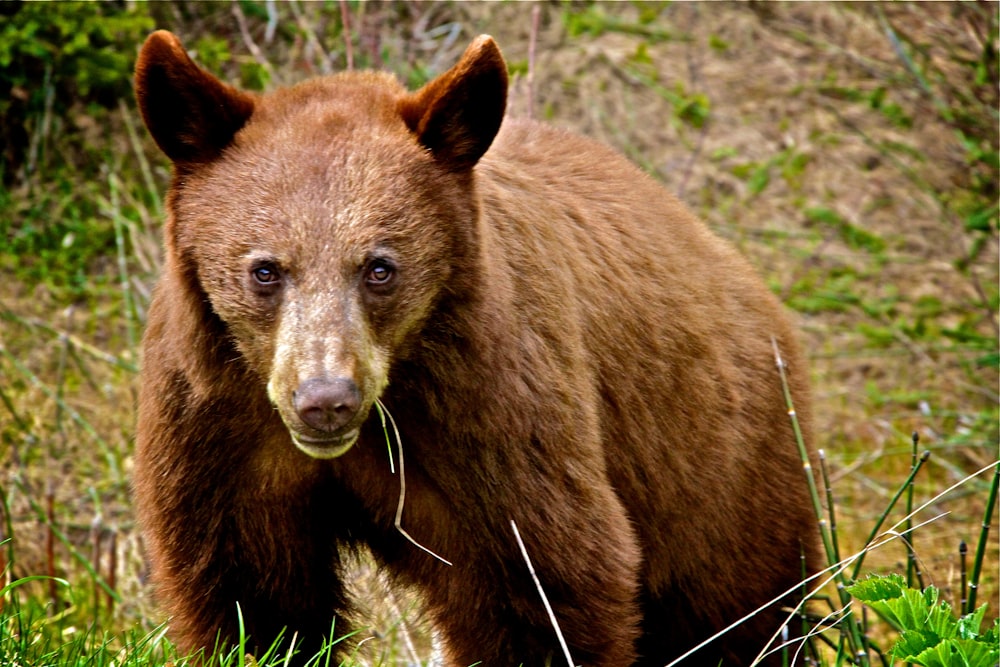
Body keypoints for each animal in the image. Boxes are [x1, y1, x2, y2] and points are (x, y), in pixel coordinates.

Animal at [133, 28, 820, 664]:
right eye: (265, 269)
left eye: (379, 267)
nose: (325, 400)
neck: (391, 399)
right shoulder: (219, 429)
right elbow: (251, 603)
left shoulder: (490, 416)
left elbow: (545, 583)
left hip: (719, 468)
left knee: (738, 613)